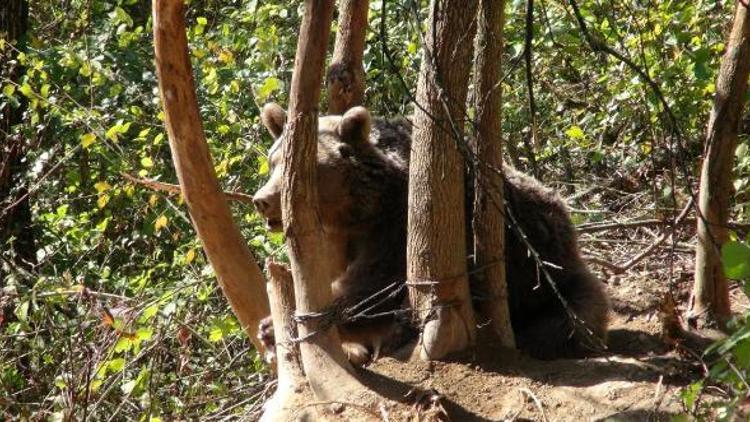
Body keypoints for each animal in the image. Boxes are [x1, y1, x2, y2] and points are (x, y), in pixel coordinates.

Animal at [254, 102, 612, 362]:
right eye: (273, 162)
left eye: (299, 170)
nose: (263, 200)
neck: (354, 211)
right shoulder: (336, 239)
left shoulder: (396, 225)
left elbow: (373, 285)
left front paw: (278, 325)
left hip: (544, 277)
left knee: (571, 317)